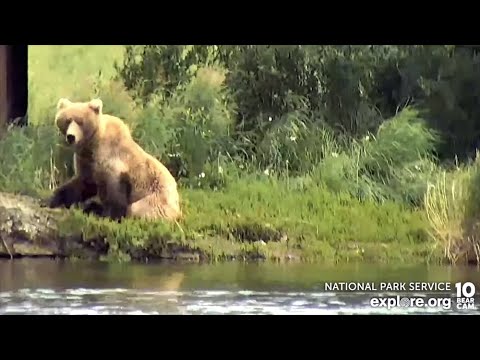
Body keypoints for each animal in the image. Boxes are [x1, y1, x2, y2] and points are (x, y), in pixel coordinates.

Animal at [47, 98, 182, 222]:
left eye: (80, 121)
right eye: (68, 120)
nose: (71, 137)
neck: (92, 145)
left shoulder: (113, 162)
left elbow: (114, 192)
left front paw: (111, 215)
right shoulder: (86, 161)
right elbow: (82, 183)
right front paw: (53, 199)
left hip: (156, 200)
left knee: (137, 209)